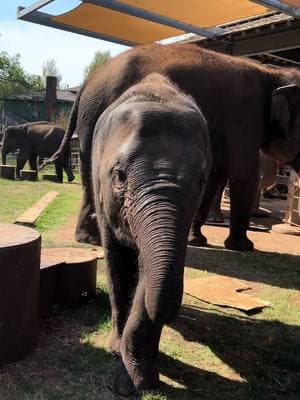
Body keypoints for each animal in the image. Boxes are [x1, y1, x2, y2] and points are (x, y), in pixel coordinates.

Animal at [45, 43, 300, 250]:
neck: (274, 73)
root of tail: (88, 81)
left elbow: (214, 175)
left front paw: (197, 240)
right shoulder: (245, 117)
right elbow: (244, 174)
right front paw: (243, 247)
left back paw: (88, 239)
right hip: (96, 115)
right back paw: (94, 240)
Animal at [91, 73, 211, 396]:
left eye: (202, 181)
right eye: (119, 175)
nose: (168, 315)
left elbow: (148, 270)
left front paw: (137, 382)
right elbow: (118, 264)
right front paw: (116, 352)